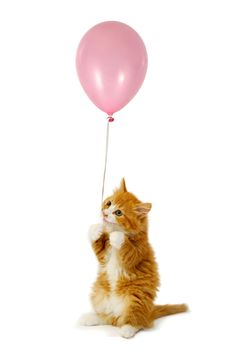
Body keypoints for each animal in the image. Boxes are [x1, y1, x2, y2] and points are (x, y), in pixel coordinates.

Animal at [80, 179, 187, 338]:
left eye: (118, 212)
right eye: (109, 203)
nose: (104, 213)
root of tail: (149, 312)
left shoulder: (138, 252)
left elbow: (127, 249)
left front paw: (118, 237)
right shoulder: (104, 256)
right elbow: (98, 247)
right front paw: (96, 229)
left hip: (135, 298)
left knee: (136, 322)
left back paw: (128, 329)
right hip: (99, 293)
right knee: (109, 318)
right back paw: (91, 318)